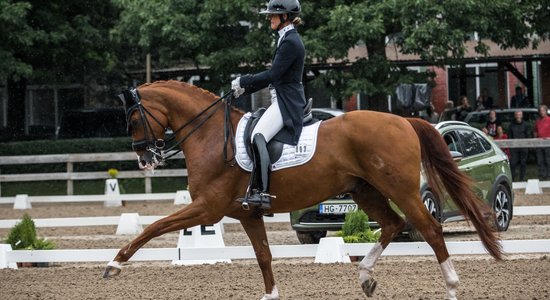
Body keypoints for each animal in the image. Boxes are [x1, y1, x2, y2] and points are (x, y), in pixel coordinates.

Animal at [104, 80, 504, 300]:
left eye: (134, 118)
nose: (144, 158)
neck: (210, 135)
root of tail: (404, 120)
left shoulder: (208, 207)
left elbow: (154, 227)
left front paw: (114, 265)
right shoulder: (246, 213)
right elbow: (264, 256)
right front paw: (271, 295)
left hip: (399, 189)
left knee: (430, 229)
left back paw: (451, 287)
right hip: (365, 191)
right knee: (392, 225)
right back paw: (365, 277)